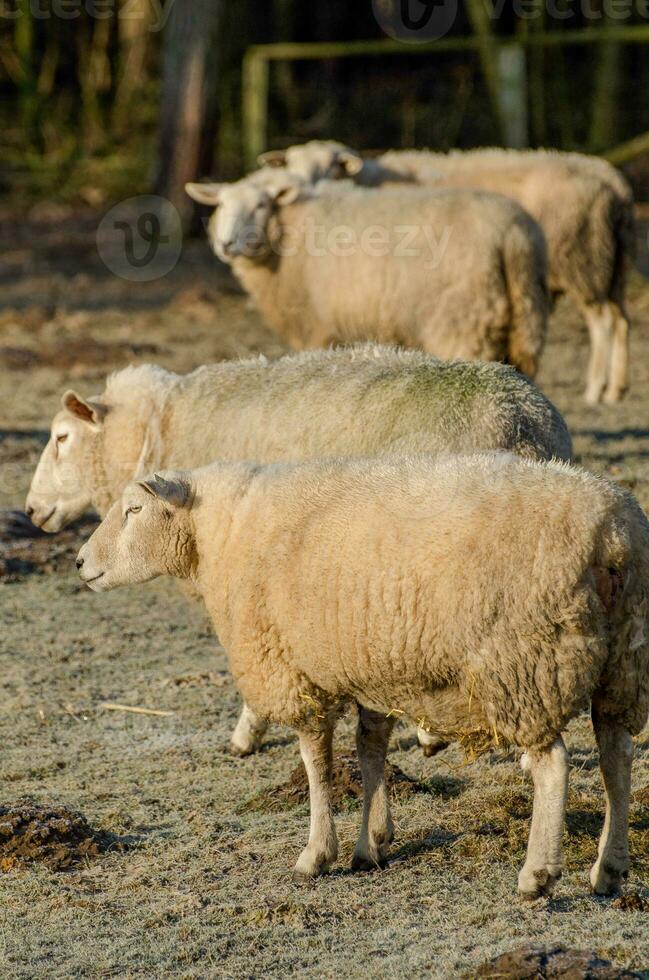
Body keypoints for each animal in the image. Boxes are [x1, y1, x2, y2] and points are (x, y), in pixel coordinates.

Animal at [77, 452, 648, 896]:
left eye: (133, 510)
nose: (81, 563)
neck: (221, 532)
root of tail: (612, 535)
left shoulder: (293, 667)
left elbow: (317, 761)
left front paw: (317, 853)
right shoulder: (375, 667)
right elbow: (370, 748)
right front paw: (372, 842)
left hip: (525, 665)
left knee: (553, 764)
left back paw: (538, 875)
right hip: (623, 659)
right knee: (616, 756)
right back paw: (609, 869)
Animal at [185, 168, 548, 376]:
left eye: (261, 205)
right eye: (221, 205)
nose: (226, 243)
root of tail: (511, 234)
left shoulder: (317, 326)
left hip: (461, 321)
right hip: (526, 320)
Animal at [258, 140, 632, 404]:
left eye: (332, 167)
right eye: (291, 163)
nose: (301, 187)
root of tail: (613, 180)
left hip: (582, 261)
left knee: (602, 322)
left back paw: (595, 389)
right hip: (613, 263)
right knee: (622, 319)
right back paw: (616, 388)